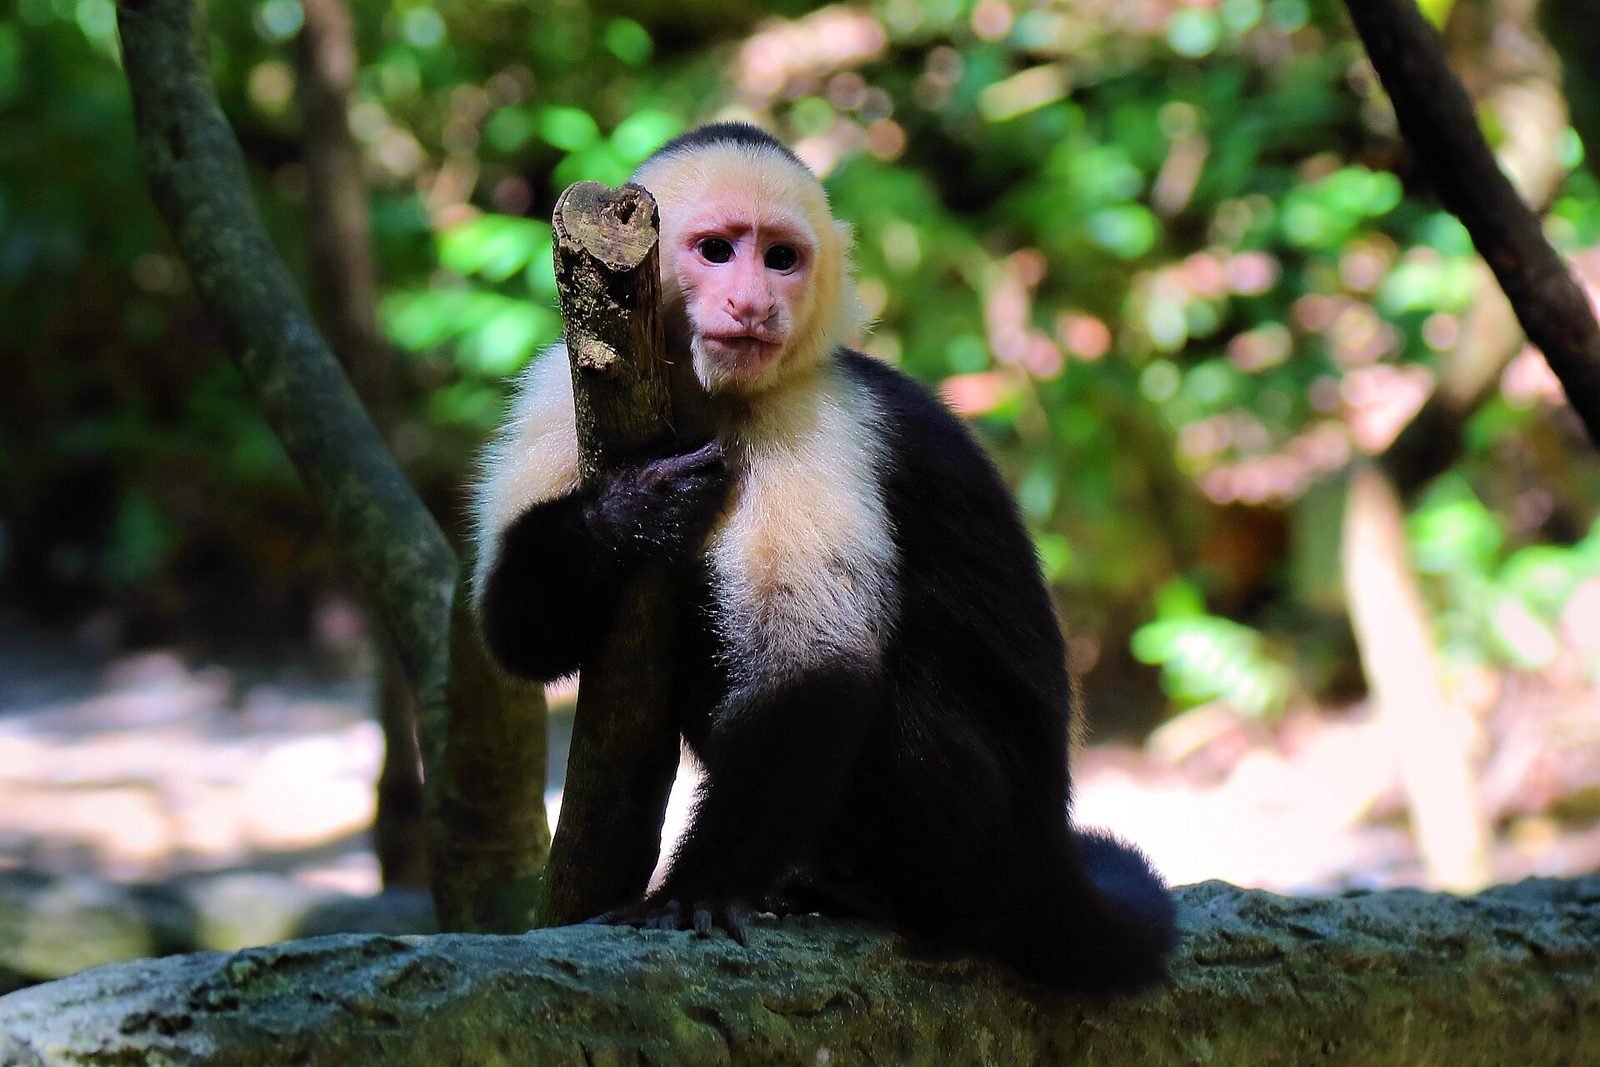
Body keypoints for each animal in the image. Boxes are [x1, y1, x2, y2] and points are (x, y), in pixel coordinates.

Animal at [472, 122, 1175, 993]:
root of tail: (1049, 851)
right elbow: (515, 634)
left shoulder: (814, 413)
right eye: (715, 251)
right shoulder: (555, 389)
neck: (699, 394)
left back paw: (907, 902)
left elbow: (813, 669)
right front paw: (632, 508)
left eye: (781, 258)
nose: (753, 303)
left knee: (900, 695)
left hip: (995, 831)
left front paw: (696, 891)